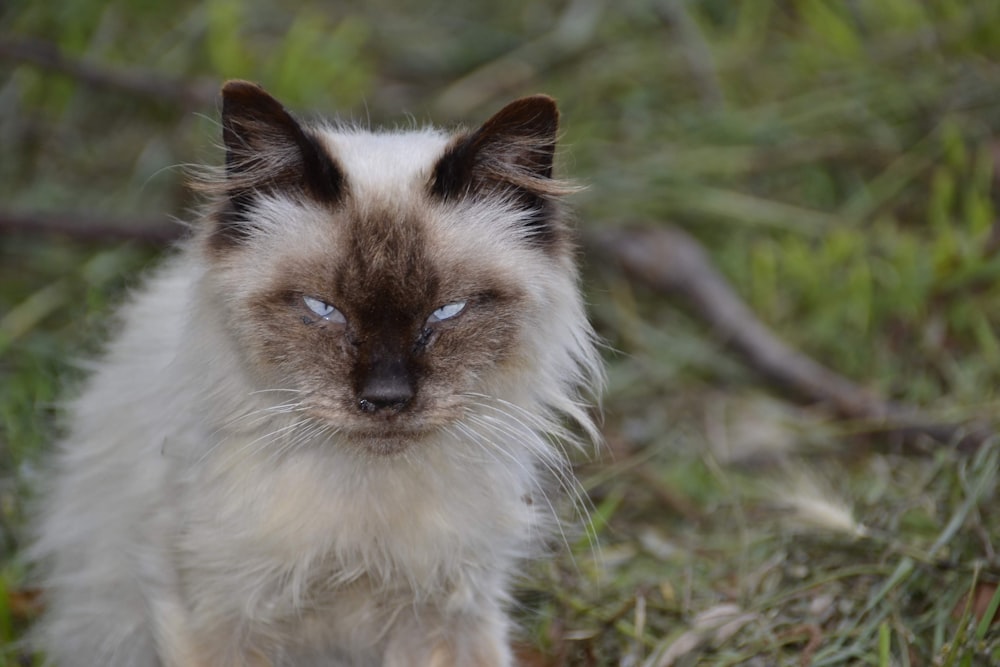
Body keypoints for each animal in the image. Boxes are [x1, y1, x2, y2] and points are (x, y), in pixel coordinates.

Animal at [31, 79, 600, 667]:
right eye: (324, 309)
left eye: (446, 312)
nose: (386, 397)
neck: (364, 525)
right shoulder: (221, 616)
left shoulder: (448, 612)